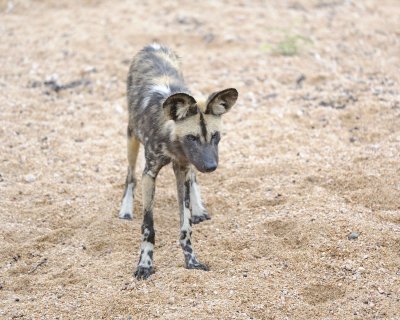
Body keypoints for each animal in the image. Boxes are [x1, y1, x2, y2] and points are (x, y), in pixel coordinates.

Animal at [119, 43, 238, 278]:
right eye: (192, 138)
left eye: (215, 136)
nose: (211, 166)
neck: (173, 144)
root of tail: (152, 45)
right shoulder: (149, 174)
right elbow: (148, 226)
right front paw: (145, 265)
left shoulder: (183, 168)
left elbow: (186, 225)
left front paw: (191, 260)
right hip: (131, 138)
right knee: (130, 175)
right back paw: (126, 209)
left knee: (193, 180)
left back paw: (199, 208)